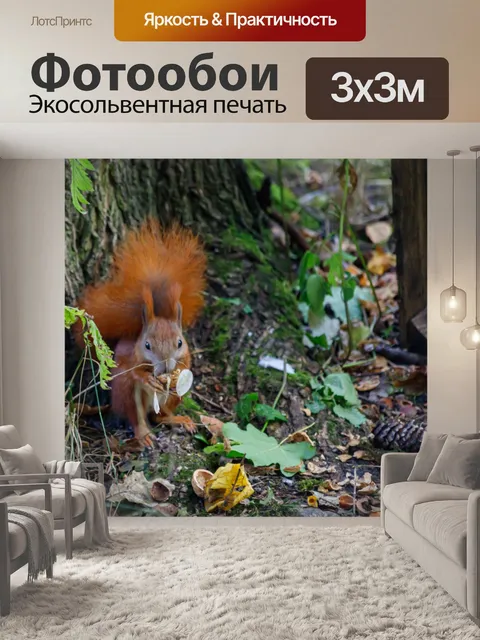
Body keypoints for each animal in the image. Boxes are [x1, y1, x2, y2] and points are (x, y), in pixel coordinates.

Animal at [75, 219, 207, 446]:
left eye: (180, 343)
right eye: (147, 345)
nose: (165, 366)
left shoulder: (186, 355)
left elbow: (186, 365)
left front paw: (175, 374)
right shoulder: (131, 358)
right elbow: (136, 372)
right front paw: (149, 379)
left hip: (176, 397)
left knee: (160, 415)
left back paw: (179, 419)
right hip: (127, 393)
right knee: (137, 417)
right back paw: (144, 435)